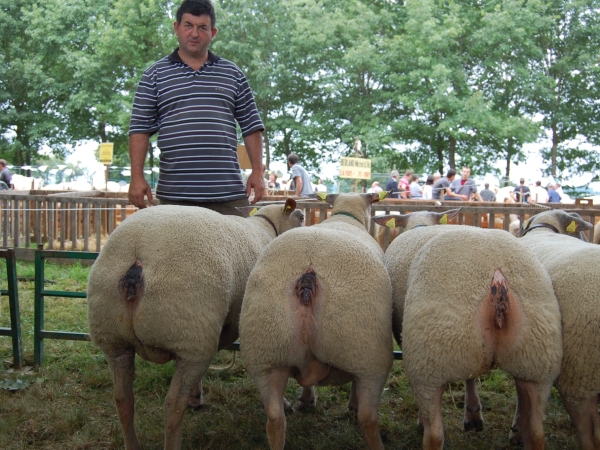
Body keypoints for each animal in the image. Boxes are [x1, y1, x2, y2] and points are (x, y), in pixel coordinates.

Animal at [86, 200, 302, 450]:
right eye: (301, 217)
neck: (267, 227)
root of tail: (137, 259)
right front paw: (284, 402)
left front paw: (195, 395)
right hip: (192, 336)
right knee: (172, 405)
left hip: (113, 337)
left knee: (123, 398)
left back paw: (133, 443)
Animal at [237, 192, 396, 448]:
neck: (344, 216)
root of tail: (308, 273)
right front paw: (349, 405)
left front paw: (307, 399)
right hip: (366, 353)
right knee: (368, 418)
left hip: (266, 352)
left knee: (274, 419)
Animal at [370, 212, 564, 450]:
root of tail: (497, 275)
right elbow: (470, 377)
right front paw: (473, 414)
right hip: (538, 361)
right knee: (537, 432)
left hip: (430, 358)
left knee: (434, 434)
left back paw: (425, 426)